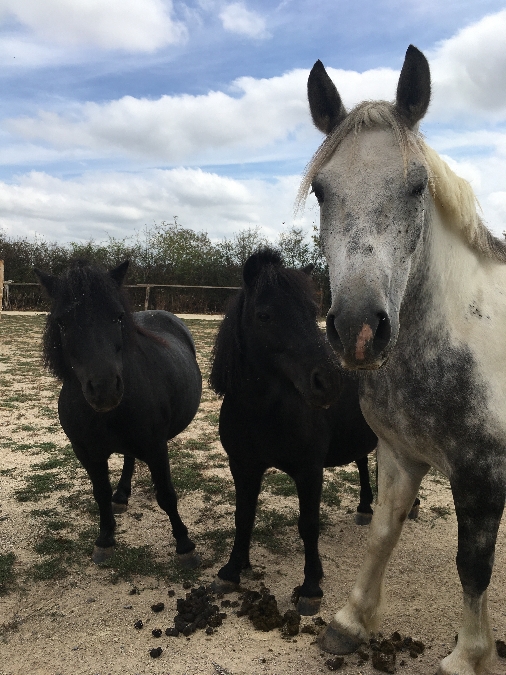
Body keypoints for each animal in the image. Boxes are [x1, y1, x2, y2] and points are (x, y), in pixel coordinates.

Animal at [36, 262, 202, 568]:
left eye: (117, 317)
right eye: (62, 322)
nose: (104, 389)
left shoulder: (155, 447)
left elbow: (166, 495)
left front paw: (185, 545)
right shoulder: (86, 452)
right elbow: (100, 493)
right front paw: (105, 540)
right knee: (127, 459)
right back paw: (122, 495)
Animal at [210, 250, 380, 616]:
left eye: (312, 311)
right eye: (264, 315)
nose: (328, 383)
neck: (262, 412)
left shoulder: (308, 471)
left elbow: (309, 525)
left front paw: (311, 587)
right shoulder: (243, 466)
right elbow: (243, 516)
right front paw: (231, 570)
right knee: (362, 462)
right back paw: (364, 509)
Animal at [300, 45, 506, 672]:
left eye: (418, 187)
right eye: (321, 190)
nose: (359, 330)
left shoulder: (483, 476)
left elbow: (473, 566)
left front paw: (469, 655)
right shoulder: (397, 453)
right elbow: (383, 533)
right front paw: (350, 621)